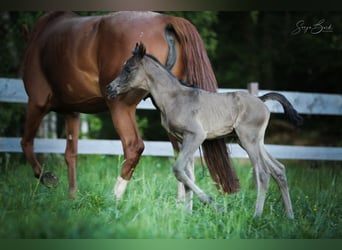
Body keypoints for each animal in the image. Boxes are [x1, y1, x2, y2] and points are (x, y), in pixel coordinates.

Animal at [21, 11, 240, 201]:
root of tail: (167, 19)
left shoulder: (36, 103)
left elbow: (26, 143)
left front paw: (48, 178)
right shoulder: (72, 112)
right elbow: (70, 154)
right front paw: (72, 197)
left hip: (120, 107)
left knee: (134, 147)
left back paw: (114, 197)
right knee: (181, 155)